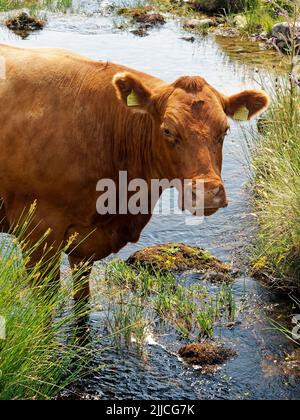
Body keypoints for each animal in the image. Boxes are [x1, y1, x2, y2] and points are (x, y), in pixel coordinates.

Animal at [0, 44, 270, 300]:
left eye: (225, 130)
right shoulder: (36, 230)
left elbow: (82, 302)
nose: (207, 194)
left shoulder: (84, 244)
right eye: (167, 130)